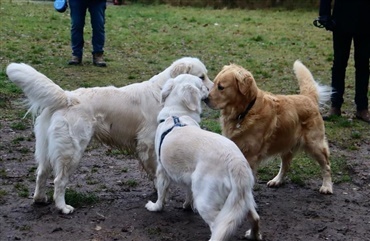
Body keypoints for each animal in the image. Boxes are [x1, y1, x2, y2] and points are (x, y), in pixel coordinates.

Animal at [6, 57, 214, 214]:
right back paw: (63, 207)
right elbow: (156, 173)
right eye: (201, 77)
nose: (212, 92)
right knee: (59, 181)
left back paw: (40, 199)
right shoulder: (148, 144)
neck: (162, 91)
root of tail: (68, 97)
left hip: (47, 148)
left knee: (41, 173)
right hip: (71, 152)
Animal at [146, 75, 262, 241]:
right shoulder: (189, 177)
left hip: (206, 200)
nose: (209, 90)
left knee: (217, 227)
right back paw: (253, 235)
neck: (177, 116)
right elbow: (188, 192)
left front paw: (155, 207)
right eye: (202, 85)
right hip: (242, 199)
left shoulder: (162, 171)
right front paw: (187, 205)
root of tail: (235, 162)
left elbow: (161, 195)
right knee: (255, 218)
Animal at [207, 60, 334, 194]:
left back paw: (327, 186)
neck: (245, 111)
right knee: (286, 165)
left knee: (326, 165)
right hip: (287, 143)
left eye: (221, 87)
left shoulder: (251, 155)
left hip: (315, 145)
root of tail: (307, 97)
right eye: (214, 83)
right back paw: (277, 180)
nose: (204, 99)